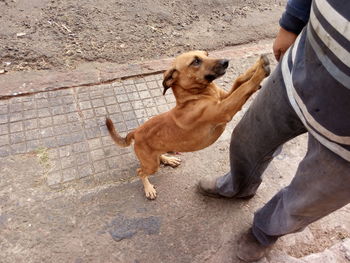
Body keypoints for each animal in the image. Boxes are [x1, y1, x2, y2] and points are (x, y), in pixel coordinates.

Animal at [106, 51, 270, 200]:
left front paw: (254, 68)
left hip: (156, 154)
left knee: (158, 156)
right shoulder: (225, 110)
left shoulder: (225, 97)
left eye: (206, 54)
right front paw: (260, 72)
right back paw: (149, 188)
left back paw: (168, 159)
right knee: (140, 172)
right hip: (151, 165)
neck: (195, 96)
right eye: (195, 61)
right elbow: (244, 88)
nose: (226, 61)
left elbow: (239, 81)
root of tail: (135, 132)